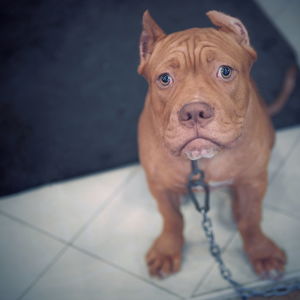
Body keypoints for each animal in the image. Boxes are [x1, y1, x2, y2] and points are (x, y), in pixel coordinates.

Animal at [138, 11, 290, 278]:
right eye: (164, 79)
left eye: (225, 71)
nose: (194, 111)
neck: (202, 161)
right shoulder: (159, 186)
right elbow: (172, 218)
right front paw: (167, 250)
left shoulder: (253, 180)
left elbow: (251, 218)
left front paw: (262, 252)